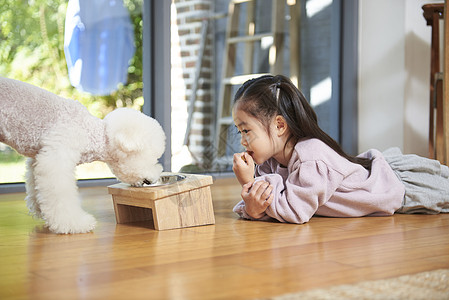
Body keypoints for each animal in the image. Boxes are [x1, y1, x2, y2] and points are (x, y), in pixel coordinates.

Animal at [0, 77, 166, 234]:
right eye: (153, 158)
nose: (152, 180)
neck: (91, 133)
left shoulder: (37, 158)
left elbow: (35, 186)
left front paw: (41, 210)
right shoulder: (57, 157)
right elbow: (61, 194)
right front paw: (74, 224)